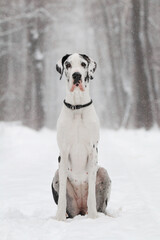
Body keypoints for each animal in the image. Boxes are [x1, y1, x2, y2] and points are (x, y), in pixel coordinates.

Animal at [51, 53, 111, 220]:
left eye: (84, 64)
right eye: (68, 65)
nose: (76, 75)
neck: (77, 107)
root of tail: (81, 210)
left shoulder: (92, 150)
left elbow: (91, 194)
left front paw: (93, 217)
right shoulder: (64, 152)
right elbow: (62, 196)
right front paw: (59, 218)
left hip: (103, 172)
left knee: (101, 207)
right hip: (56, 175)